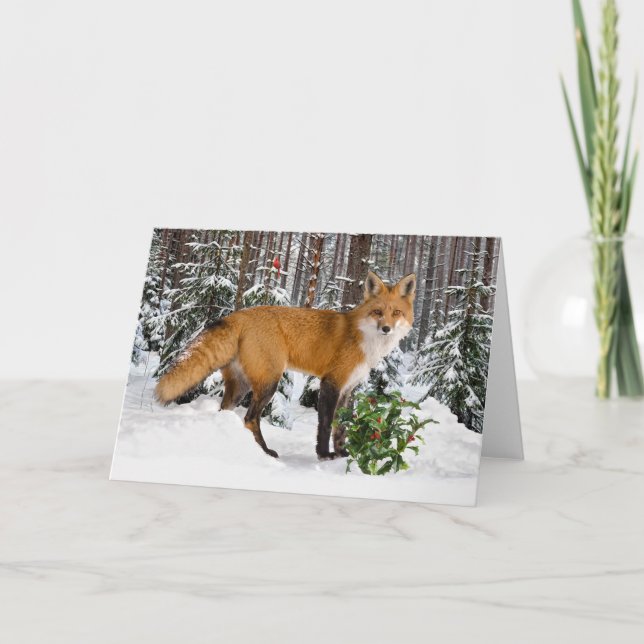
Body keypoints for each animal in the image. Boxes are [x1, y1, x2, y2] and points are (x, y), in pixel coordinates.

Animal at [155, 271, 416, 460]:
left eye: (396, 313)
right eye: (377, 312)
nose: (386, 328)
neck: (363, 338)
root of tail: (239, 314)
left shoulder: (348, 389)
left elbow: (340, 427)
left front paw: (342, 454)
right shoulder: (330, 382)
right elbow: (325, 425)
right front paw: (324, 455)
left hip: (240, 387)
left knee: (226, 412)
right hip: (270, 382)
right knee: (250, 419)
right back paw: (265, 452)